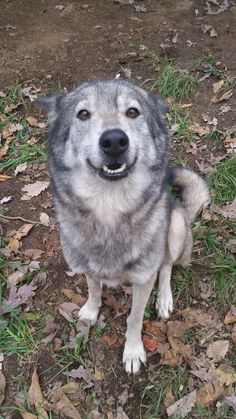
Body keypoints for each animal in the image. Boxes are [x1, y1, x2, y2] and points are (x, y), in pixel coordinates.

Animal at [38, 79, 210, 374]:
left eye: (132, 112)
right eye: (83, 114)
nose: (114, 141)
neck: (109, 209)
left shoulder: (143, 280)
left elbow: (134, 318)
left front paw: (132, 351)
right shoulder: (87, 265)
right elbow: (94, 289)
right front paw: (91, 310)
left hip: (175, 226)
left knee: (166, 267)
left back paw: (164, 299)